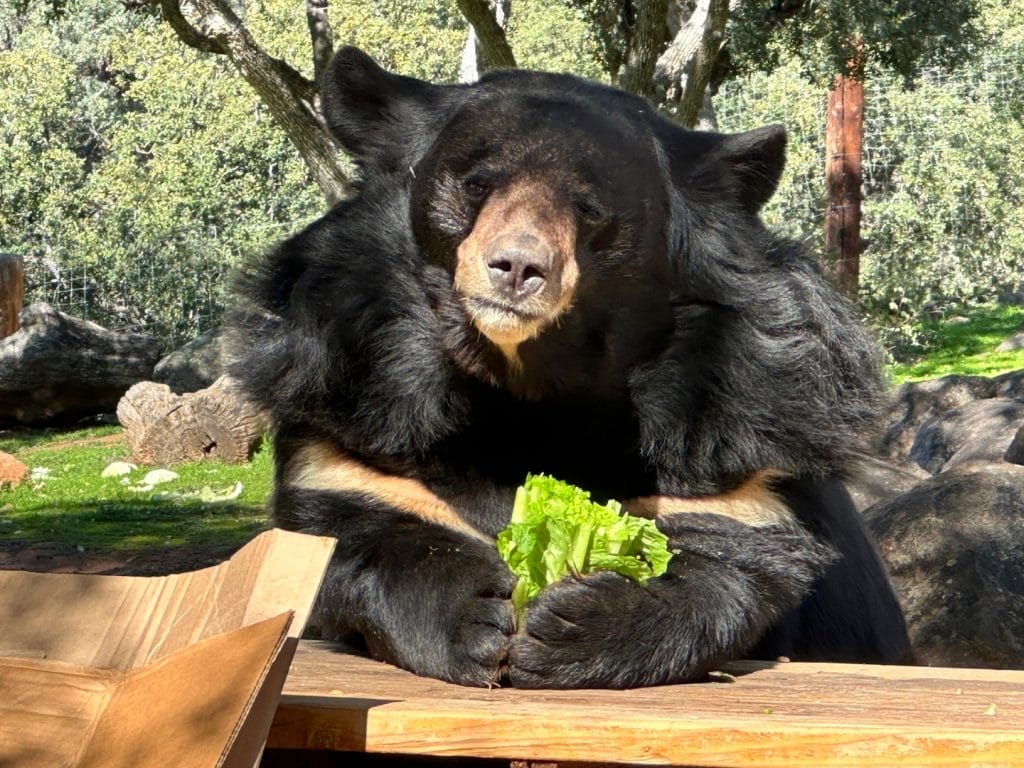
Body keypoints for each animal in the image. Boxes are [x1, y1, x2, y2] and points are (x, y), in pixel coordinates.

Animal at [228, 46, 913, 689]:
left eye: (589, 209)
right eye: (476, 184)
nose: (517, 267)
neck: (527, 385)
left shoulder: (742, 439)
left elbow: (736, 568)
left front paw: (574, 627)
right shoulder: (353, 405)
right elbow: (344, 537)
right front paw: (475, 614)